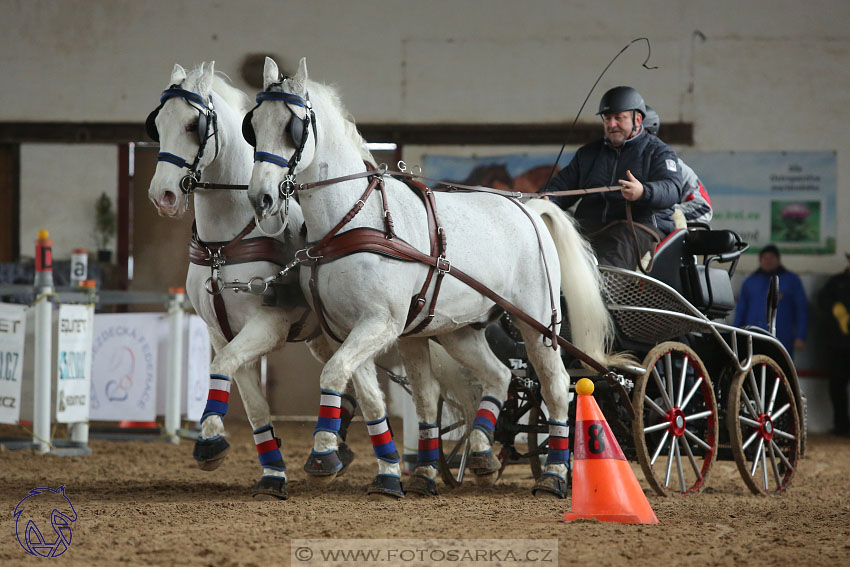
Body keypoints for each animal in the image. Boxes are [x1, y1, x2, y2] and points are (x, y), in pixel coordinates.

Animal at [146, 60, 364, 500]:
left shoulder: (268, 325)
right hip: (323, 335)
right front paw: (273, 472)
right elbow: (250, 397)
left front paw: (209, 439)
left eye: (193, 125)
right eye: (156, 124)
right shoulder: (220, 330)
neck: (224, 244)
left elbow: (223, 365)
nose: (163, 196)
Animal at [242, 57, 620, 500]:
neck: (354, 220)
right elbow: (400, 396)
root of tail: (530, 209)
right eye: (253, 124)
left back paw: (554, 475)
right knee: (499, 376)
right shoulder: (369, 331)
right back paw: (480, 454)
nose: (261, 198)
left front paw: (323, 456)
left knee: (556, 386)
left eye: (293, 127)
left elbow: (334, 373)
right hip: (459, 330)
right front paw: (410, 473)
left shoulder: (381, 323)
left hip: (538, 323)